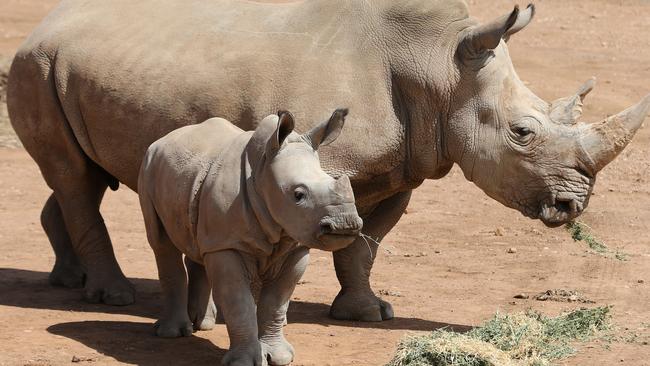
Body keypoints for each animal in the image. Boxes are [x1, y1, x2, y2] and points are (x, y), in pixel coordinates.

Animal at [138, 108, 360, 366]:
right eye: (298, 195)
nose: (345, 223)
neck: (263, 174)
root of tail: (164, 139)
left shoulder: (296, 246)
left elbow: (277, 302)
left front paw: (279, 357)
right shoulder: (228, 246)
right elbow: (238, 303)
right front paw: (244, 361)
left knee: (199, 242)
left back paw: (204, 325)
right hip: (148, 166)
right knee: (162, 244)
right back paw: (173, 333)